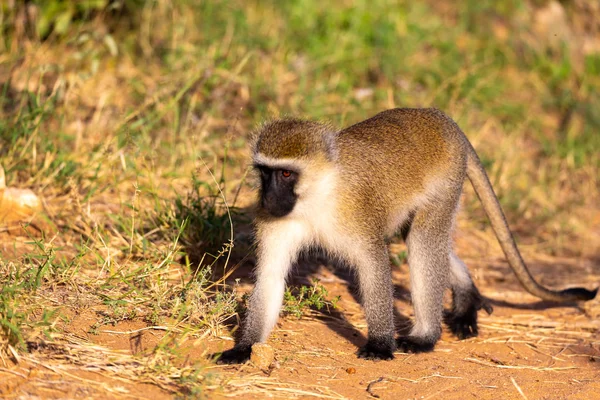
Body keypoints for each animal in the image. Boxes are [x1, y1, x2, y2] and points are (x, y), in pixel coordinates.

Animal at [218, 107, 596, 362]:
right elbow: (270, 276)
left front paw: (380, 343)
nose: (268, 198)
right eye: (264, 173)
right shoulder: (277, 222)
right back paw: (467, 297)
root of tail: (440, 118)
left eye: (285, 174)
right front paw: (245, 346)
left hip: (447, 181)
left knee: (424, 241)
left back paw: (426, 336)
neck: (318, 194)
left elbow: (373, 266)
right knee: (421, 240)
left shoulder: (356, 215)